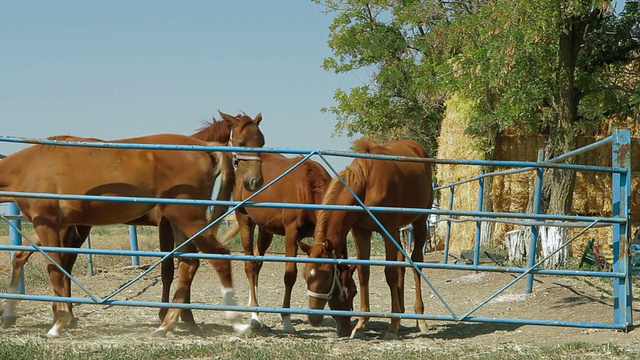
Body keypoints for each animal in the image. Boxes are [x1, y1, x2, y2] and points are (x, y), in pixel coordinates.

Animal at [0, 112, 264, 338]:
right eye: (241, 141)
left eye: (260, 142)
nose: (255, 181)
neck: (30, 166)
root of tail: (201, 151)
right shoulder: (52, 224)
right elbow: (38, 261)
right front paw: (12, 314)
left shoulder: (48, 224)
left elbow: (55, 268)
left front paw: (58, 323)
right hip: (180, 223)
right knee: (189, 263)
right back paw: (167, 325)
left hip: (187, 220)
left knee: (218, 258)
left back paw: (236, 323)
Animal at [218, 152, 332, 332]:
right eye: (306, 276)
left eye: (328, 275)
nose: (314, 318)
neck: (308, 187)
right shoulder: (291, 234)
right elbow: (290, 275)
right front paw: (286, 321)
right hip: (245, 220)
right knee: (250, 265)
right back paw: (255, 315)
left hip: (266, 229)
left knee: (257, 263)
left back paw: (253, 304)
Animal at [302, 139, 432, 338]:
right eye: (305, 275)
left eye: (327, 275)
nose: (314, 318)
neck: (367, 185)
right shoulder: (361, 232)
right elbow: (364, 272)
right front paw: (361, 324)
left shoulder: (388, 230)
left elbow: (390, 274)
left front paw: (392, 327)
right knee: (402, 263)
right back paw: (401, 312)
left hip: (420, 222)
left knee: (416, 262)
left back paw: (420, 319)